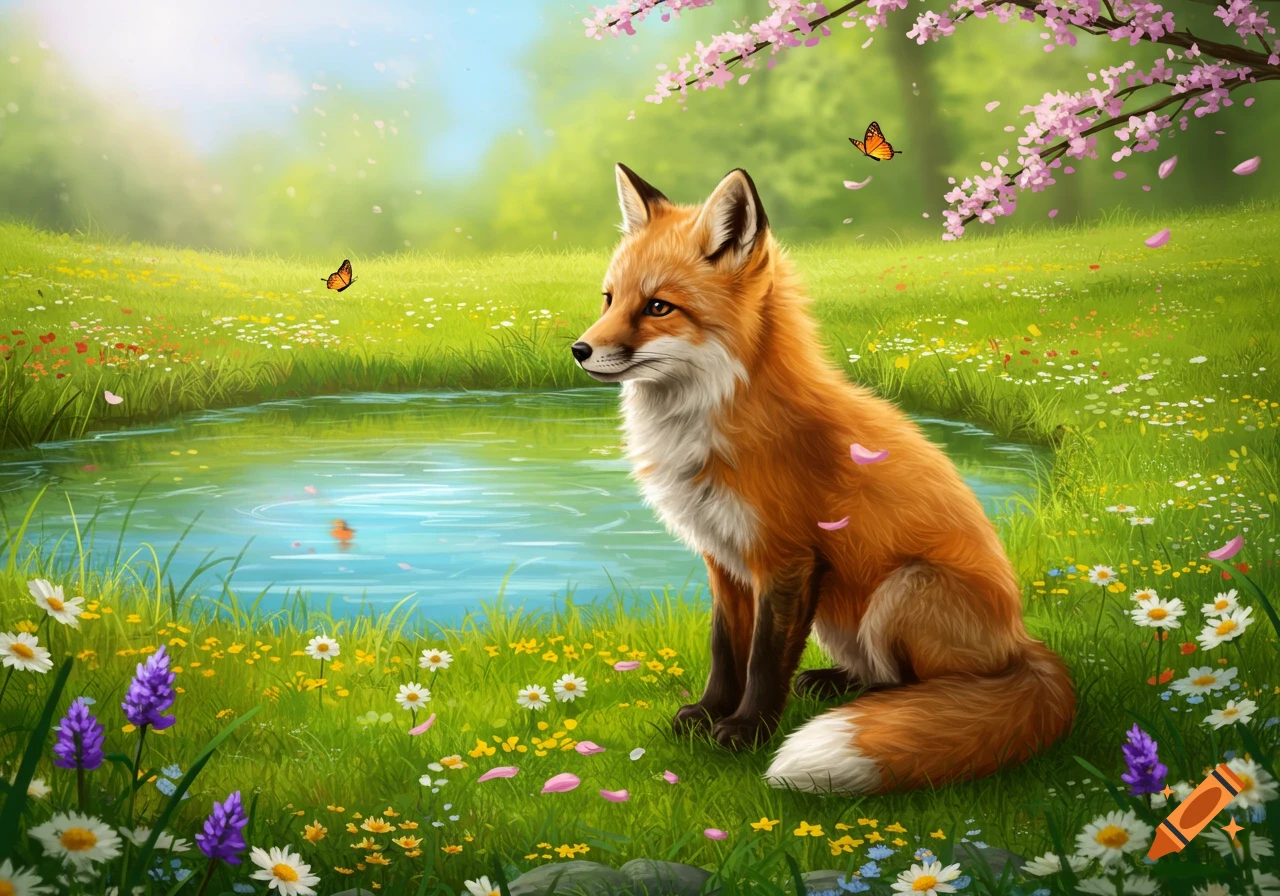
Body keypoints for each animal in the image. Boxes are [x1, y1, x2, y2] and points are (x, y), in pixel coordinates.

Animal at [569, 163, 1076, 793]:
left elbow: (763, 661)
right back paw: (835, 683)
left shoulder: (787, 558)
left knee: (920, 692)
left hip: (902, 590)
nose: (579, 349)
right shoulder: (723, 559)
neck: (715, 419)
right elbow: (725, 650)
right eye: (609, 298)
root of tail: (1022, 645)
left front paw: (746, 732)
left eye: (659, 307)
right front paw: (709, 712)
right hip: (840, 616)